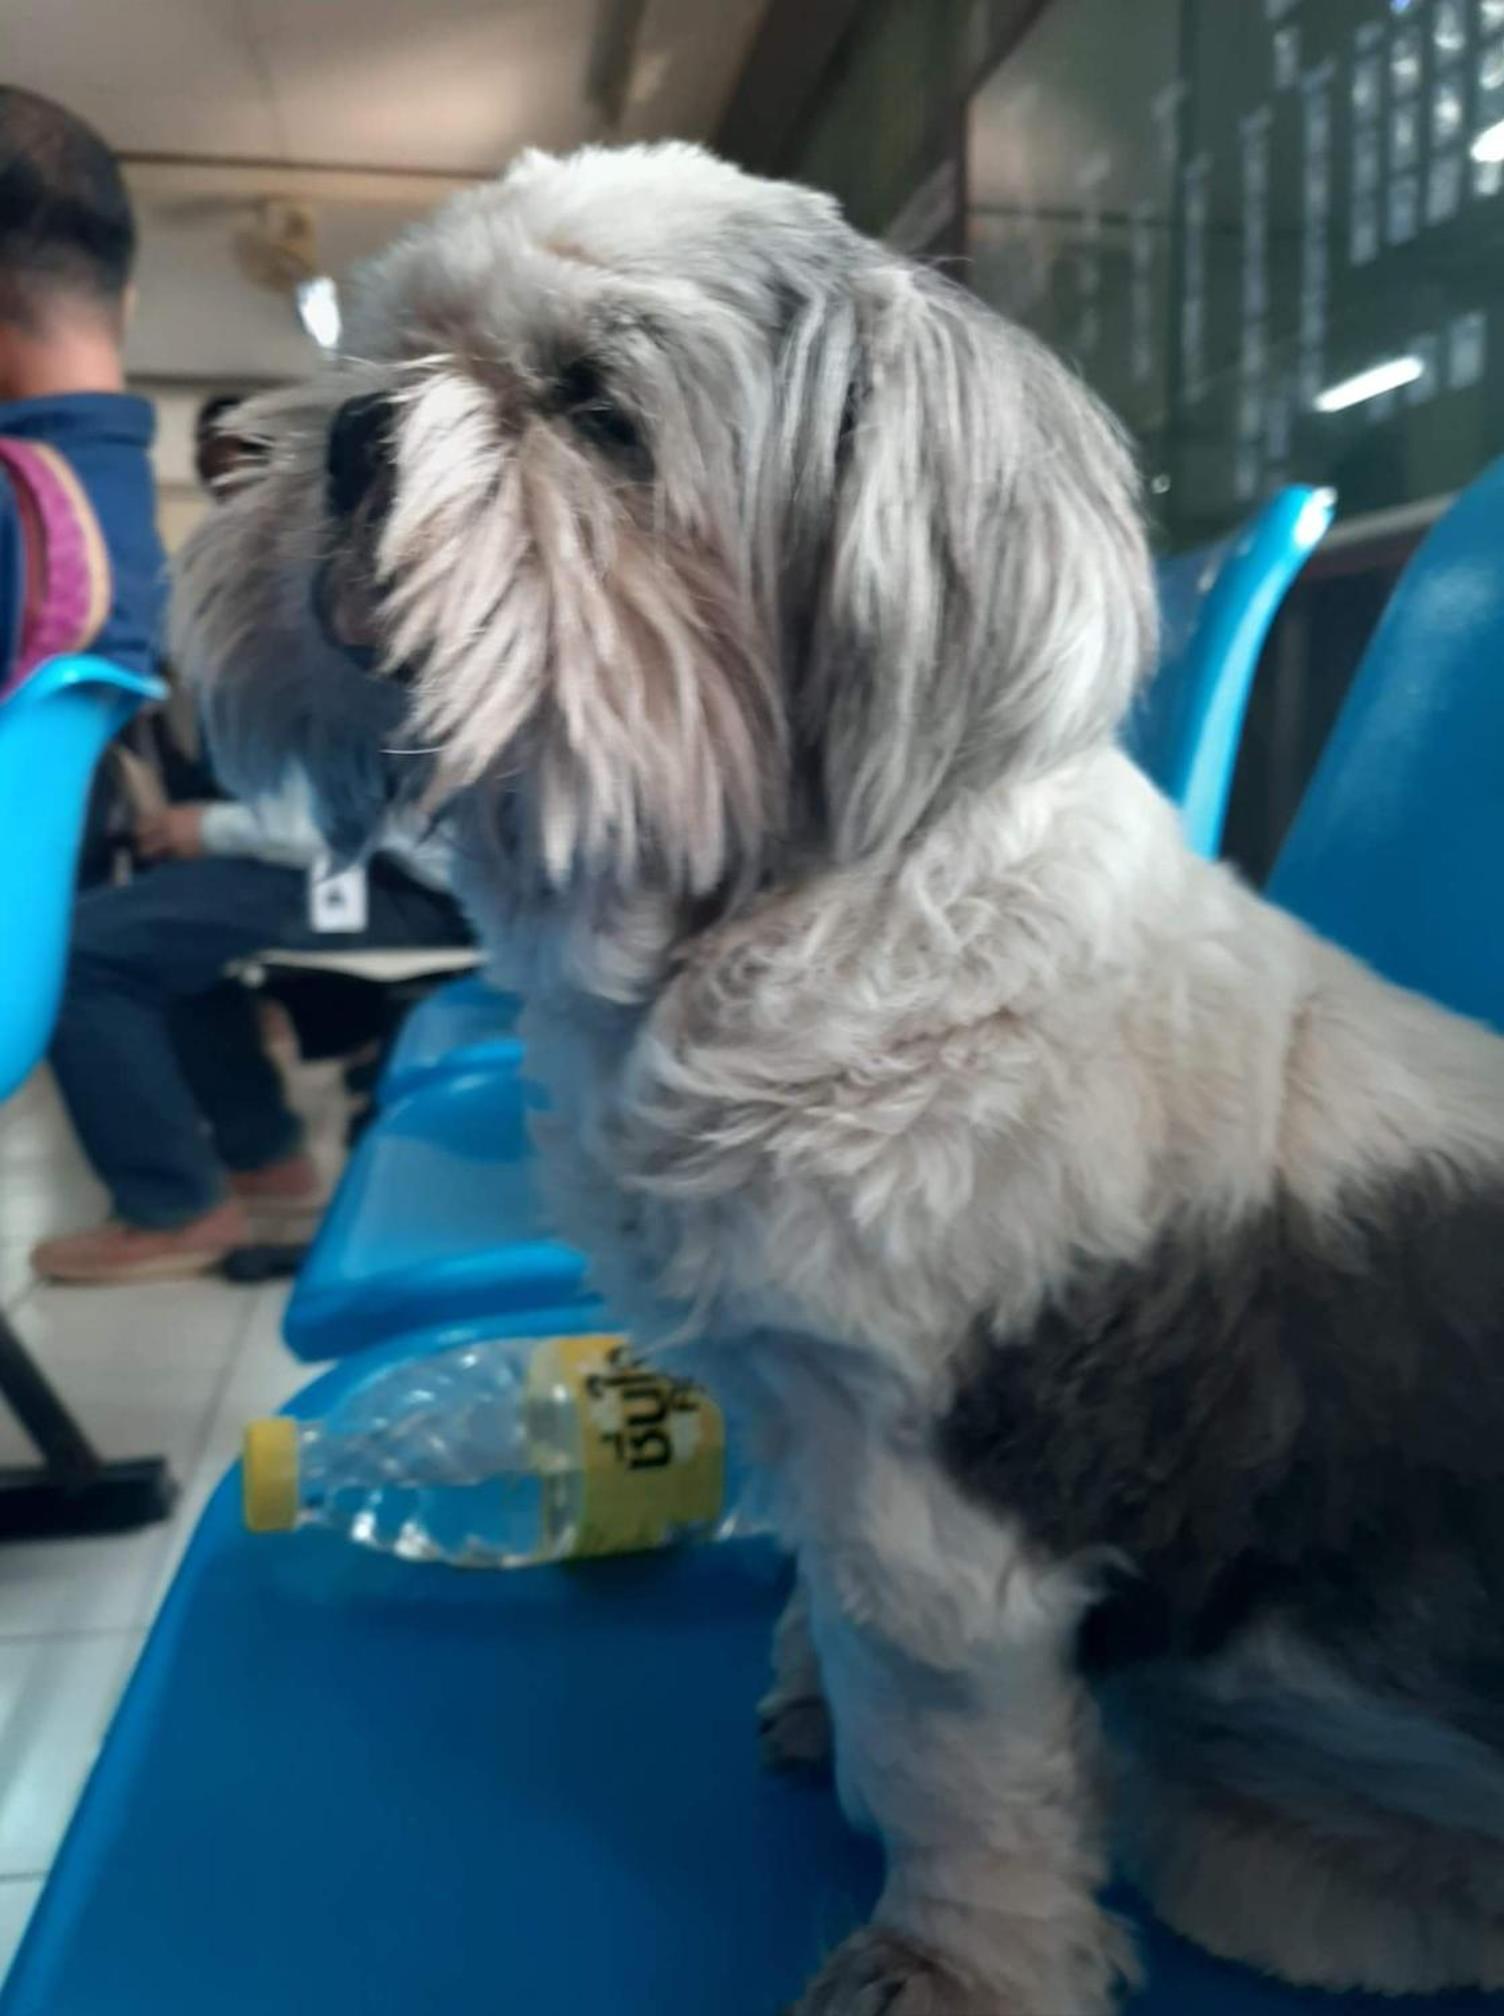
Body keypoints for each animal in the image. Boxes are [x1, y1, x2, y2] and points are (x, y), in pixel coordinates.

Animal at [174, 144, 1504, 2012]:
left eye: (594, 410)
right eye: (381, 350)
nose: (350, 428)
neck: (770, 927)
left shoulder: (925, 1510)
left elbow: (952, 1769)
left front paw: (948, 1960)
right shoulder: (790, 1402)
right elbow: (827, 1614)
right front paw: (809, 1687)